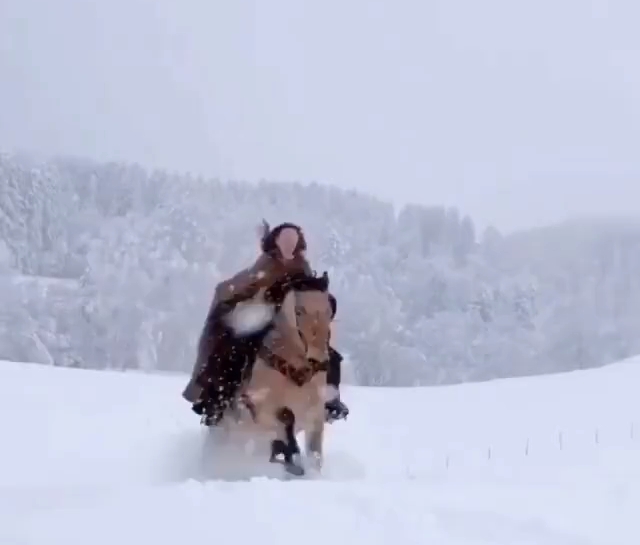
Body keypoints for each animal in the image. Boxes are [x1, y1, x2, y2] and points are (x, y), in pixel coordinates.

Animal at [215, 270, 336, 474]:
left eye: (329, 311)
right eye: (299, 311)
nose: (319, 359)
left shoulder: (315, 416)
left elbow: (315, 453)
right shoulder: (260, 410)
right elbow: (286, 419)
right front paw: (292, 458)